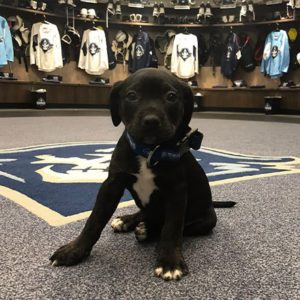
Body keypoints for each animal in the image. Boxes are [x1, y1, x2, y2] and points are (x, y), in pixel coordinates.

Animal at [50, 68, 236, 282]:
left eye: (171, 96)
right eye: (132, 95)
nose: (151, 121)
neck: (149, 151)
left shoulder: (177, 191)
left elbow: (172, 228)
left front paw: (169, 262)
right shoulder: (111, 184)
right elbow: (94, 219)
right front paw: (74, 250)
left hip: (207, 221)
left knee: (178, 227)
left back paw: (147, 231)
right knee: (145, 213)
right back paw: (128, 221)